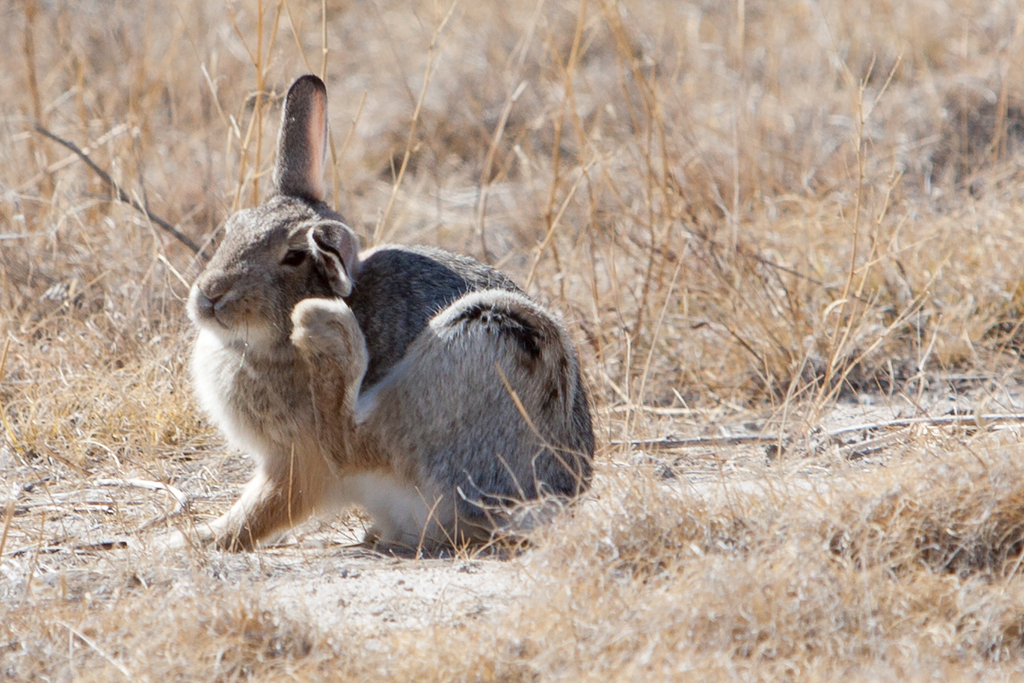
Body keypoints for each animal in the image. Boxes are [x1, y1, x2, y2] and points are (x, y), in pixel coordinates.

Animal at [176, 76, 593, 557]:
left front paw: (190, 540)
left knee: (352, 440)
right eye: (232, 228)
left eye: (294, 255)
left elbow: (264, 509)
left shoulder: (296, 462)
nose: (209, 296)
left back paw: (326, 330)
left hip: (480, 342)